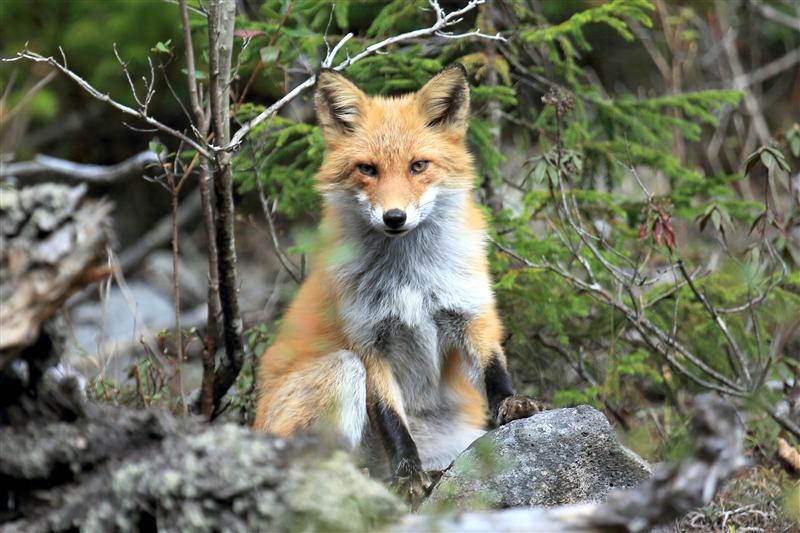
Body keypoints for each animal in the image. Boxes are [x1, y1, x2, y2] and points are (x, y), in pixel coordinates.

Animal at [255, 64, 536, 496]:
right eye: (367, 169)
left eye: (418, 166)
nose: (394, 217)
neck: (410, 280)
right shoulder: (368, 340)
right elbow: (391, 418)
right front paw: (408, 475)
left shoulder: (468, 311)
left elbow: (493, 366)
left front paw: (511, 402)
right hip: (341, 370)